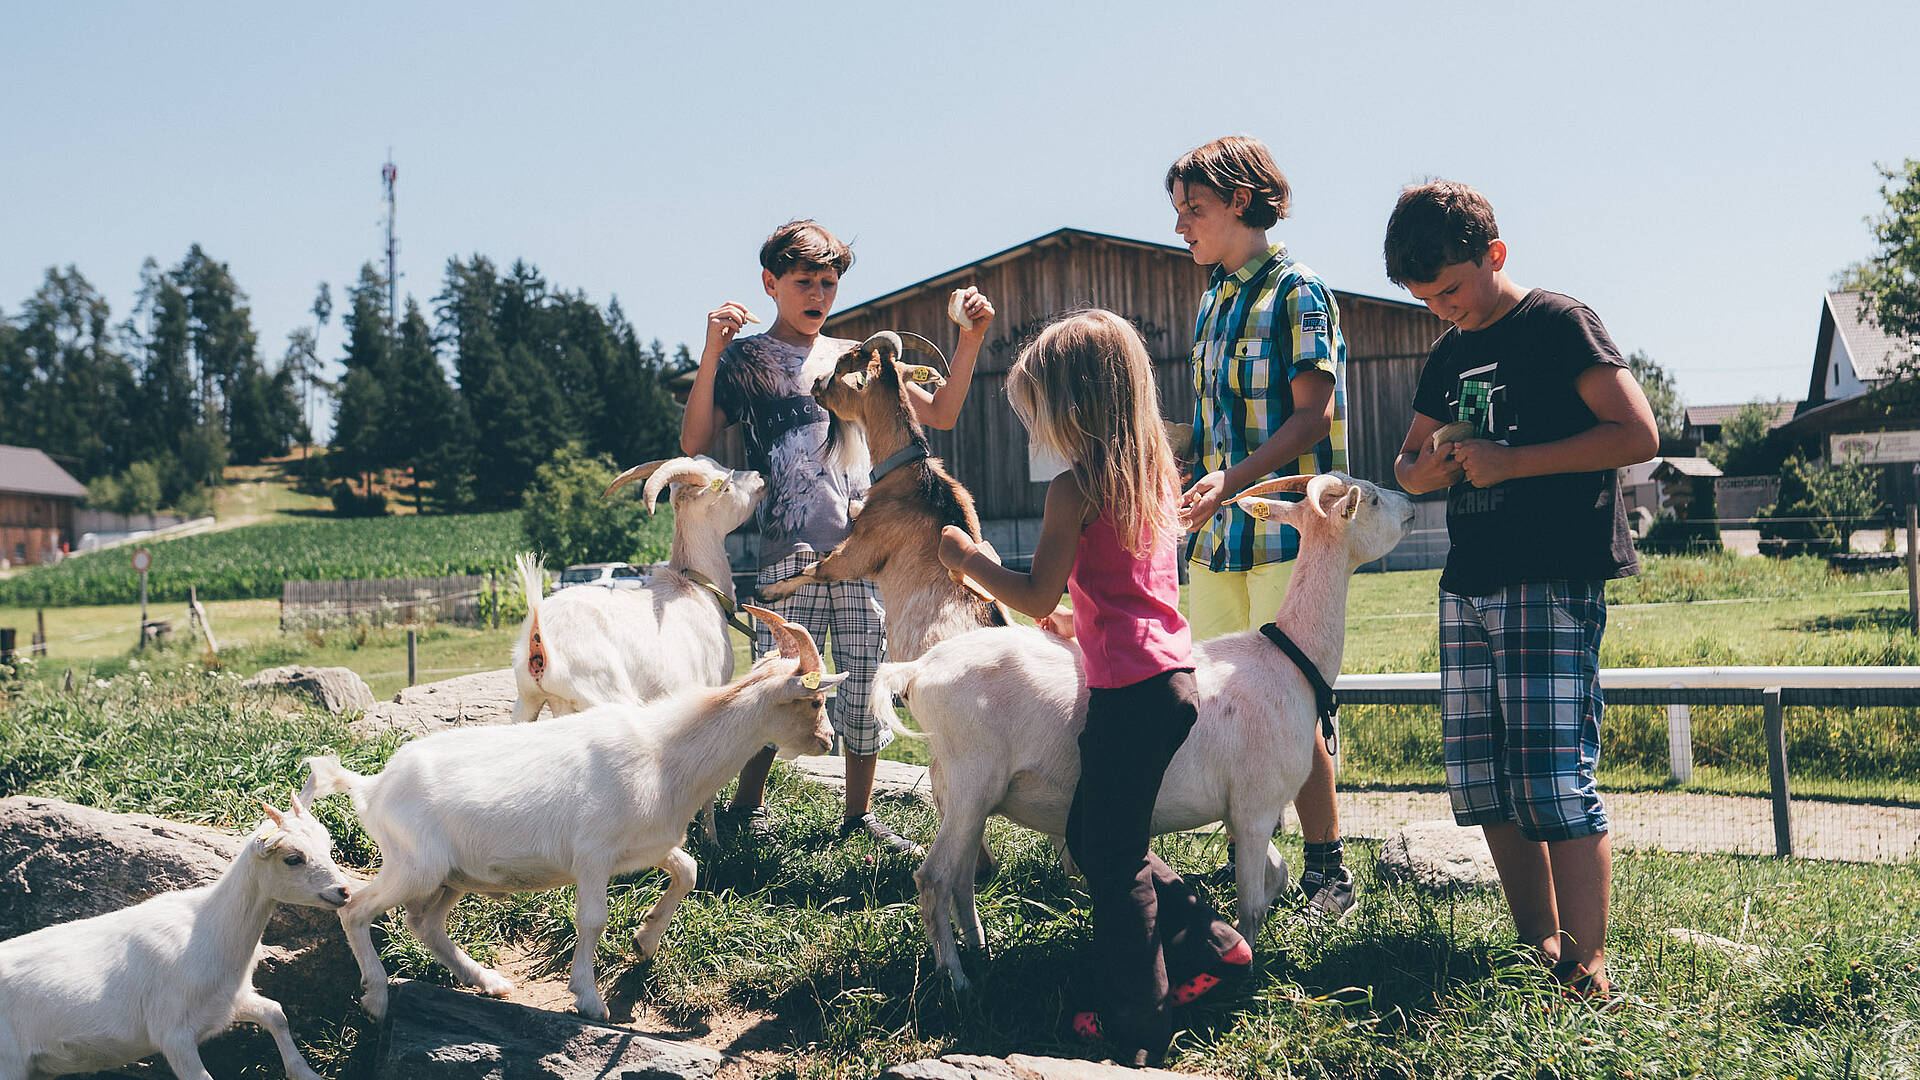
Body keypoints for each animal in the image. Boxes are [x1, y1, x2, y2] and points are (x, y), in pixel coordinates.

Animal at [0, 791, 353, 1076]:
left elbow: (275, 1013)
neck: (209, 931)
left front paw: (305, 1073)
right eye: (292, 858)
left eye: (327, 846)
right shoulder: (173, 1034)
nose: (345, 891)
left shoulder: (227, 1001)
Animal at [301, 607, 840, 1014]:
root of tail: (372, 787)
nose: (829, 740)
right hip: (416, 866)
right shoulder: (593, 854)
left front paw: (645, 941)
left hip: (451, 876)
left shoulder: (645, 846)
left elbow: (687, 870)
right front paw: (589, 998)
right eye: (815, 702)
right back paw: (376, 999)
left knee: (425, 926)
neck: (664, 754)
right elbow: (593, 918)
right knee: (356, 910)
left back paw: (489, 981)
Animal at [510, 453, 764, 722]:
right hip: (604, 694)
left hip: (527, 703)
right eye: (727, 487)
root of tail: (539, 638)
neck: (697, 586)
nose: (759, 477)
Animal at [879, 470, 1420, 983]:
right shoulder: (1255, 804)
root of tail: (918, 670)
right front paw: (1245, 968)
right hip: (971, 781)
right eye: (1371, 499)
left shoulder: (1238, 810)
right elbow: (1251, 901)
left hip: (961, 792)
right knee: (933, 878)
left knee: (961, 877)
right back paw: (956, 981)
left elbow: (1277, 875)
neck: (1289, 659)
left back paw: (980, 954)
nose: (1411, 506)